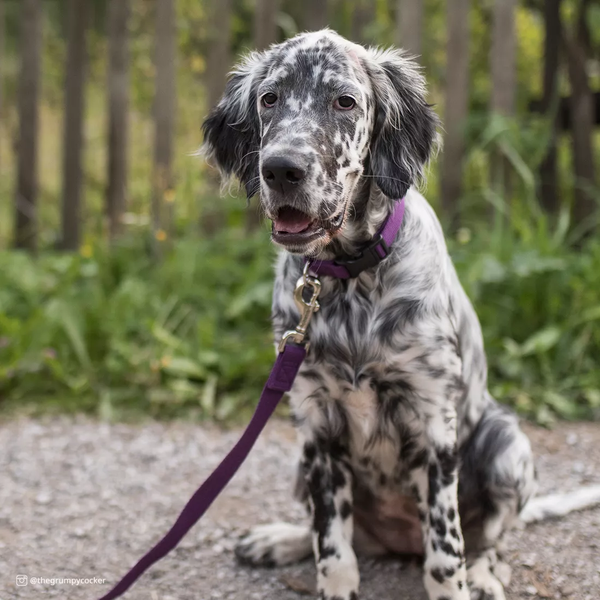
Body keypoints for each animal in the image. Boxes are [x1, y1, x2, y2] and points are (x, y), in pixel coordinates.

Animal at [203, 30, 600, 600]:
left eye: (345, 102)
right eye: (269, 99)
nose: (280, 169)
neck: (349, 278)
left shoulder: (434, 423)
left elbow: (446, 559)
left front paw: (458, 583)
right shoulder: (316, 423)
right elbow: (333, 547)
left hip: (506, 445)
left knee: (491, 541)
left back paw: (484, 574)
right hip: (302, 463)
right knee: (341, 534)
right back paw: (279, 540)